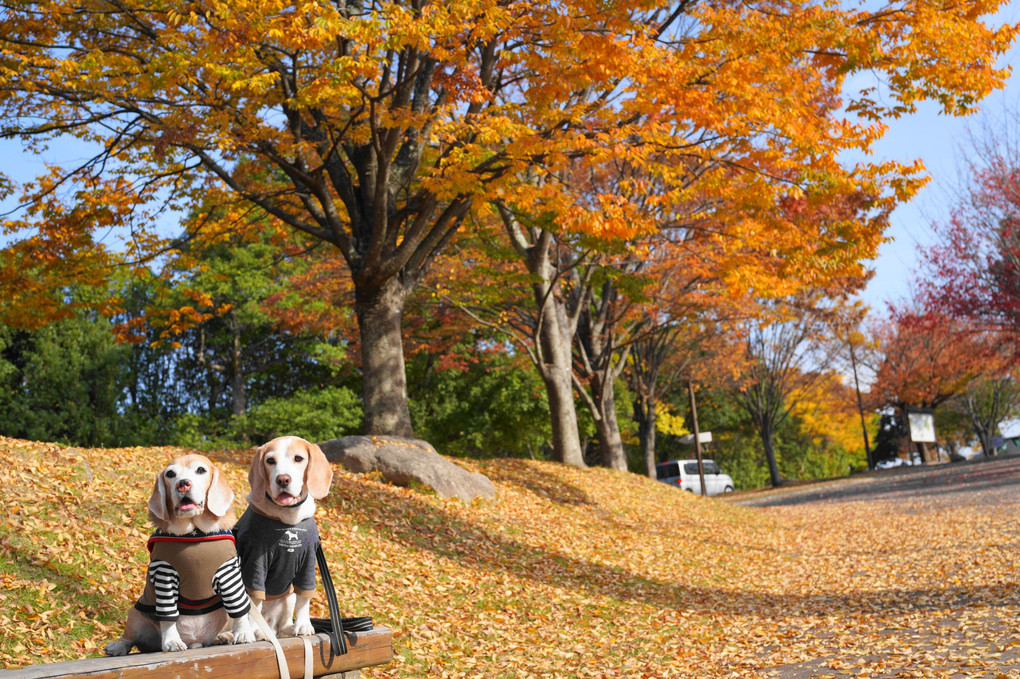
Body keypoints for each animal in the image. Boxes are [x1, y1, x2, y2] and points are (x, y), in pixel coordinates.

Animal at [104, 452, 255, 652]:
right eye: (170, 474)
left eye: (201, 470)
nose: (182, 483)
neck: (194, 533)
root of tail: (195, 642)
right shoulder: (164, 573)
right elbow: (168, 617)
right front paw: (171, 641)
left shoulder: (229, 573)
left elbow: (239, 609)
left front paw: (243, 632)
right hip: (135, 614)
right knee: (128, 639)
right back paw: (117, 647)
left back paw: (223, 637)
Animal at [233, 436, 332, 636]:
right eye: (270, 461)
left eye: (298, 458)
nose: (283, 480)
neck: (287, 518)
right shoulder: (255, 563)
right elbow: (254, 602)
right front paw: (250, 632)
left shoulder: (308, 562)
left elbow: (304, 598)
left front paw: (303, 624)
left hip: (288, 596)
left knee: (283, 624)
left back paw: (286, 629)